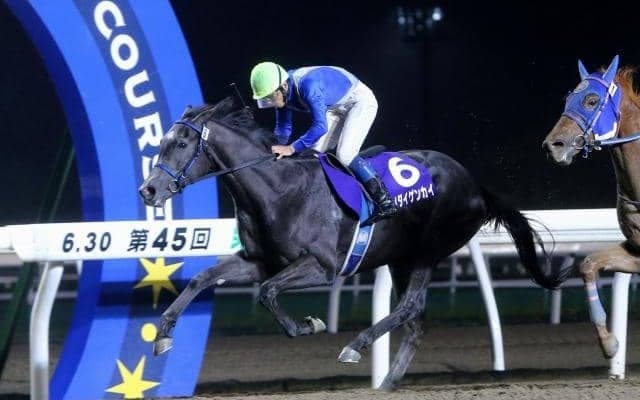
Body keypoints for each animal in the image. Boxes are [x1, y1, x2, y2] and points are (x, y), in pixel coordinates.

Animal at [139, 96, 566, 389]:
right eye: (162, 142)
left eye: (181, 143)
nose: (149, 190)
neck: (277, 190)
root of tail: (475, 185)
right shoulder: (260, 260)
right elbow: (205, 278)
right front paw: (163, 335)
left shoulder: (322, 265)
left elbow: (268, 292)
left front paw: (308, 325)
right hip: (400, 258)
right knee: (415, 324)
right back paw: (385, 386)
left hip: (427, 251)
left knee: (410, 307)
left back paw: (356, 346)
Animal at [543, 55, 640, 360]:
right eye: (567, 98)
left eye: (591, 100)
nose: (553, 145)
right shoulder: (636, 251)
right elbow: (587, 265)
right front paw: (609, 343)